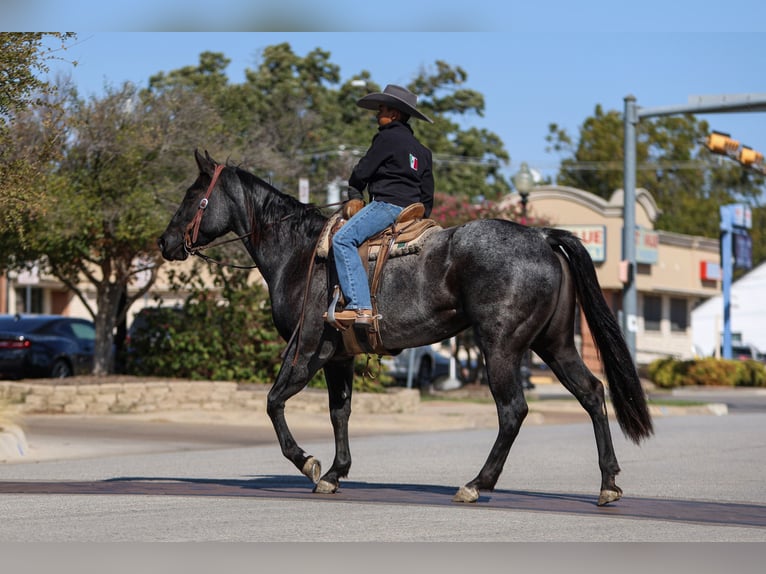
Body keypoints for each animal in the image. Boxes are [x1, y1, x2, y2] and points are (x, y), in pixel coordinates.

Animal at [158, 151, 656, 506]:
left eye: (192, 196)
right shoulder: (338, 356)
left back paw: (477, 483)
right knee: (591, 392)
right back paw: (608, 483)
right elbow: (339, 412)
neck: (300, 253)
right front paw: (336, 472)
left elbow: (274, 402)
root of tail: (541, 236)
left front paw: (310, 463)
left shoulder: (307, 350)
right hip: (554, 344)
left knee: (513, 411)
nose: (165, 242)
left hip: (500, 346)